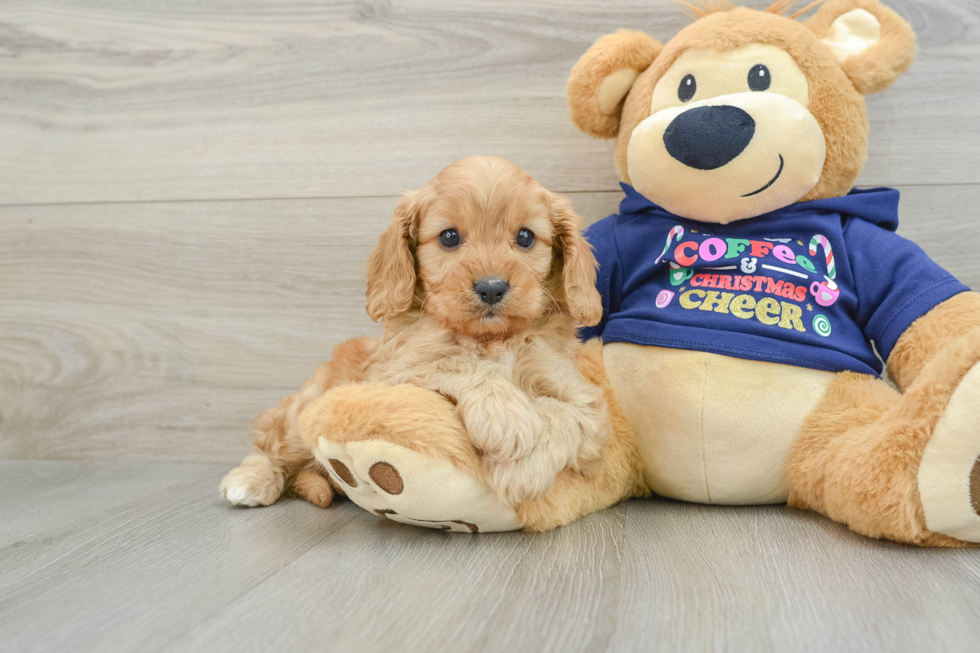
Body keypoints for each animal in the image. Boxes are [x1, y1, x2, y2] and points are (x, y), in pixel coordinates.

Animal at [222, 155, 612, 506]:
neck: (491, 340)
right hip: (304, 410)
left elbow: (561, 412)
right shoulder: (391, 375)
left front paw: (521, 470)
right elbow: (456, 361)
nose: (491, 288)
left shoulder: (584, 400)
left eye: (526, 237)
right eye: (450, 237)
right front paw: (506, 417)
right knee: (272, 446)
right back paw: (250, 480)